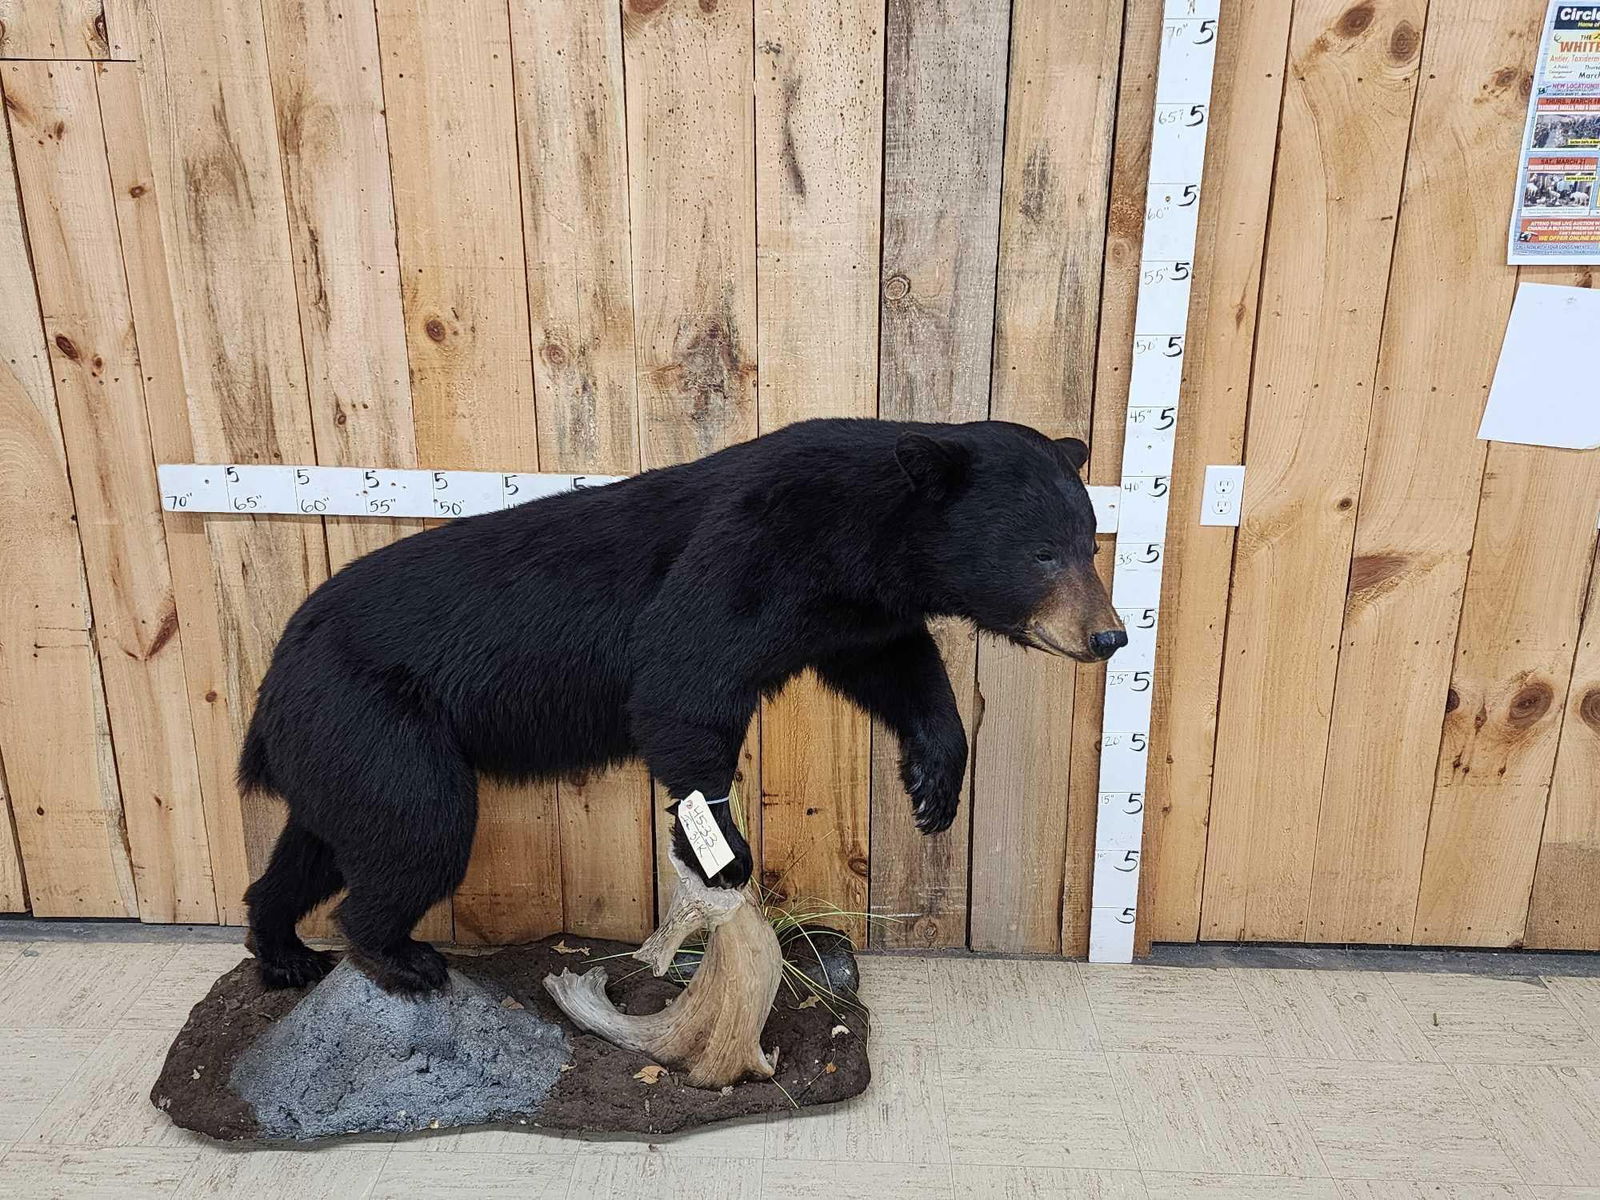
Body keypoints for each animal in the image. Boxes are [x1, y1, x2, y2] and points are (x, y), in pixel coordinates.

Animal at [239, 418, 1125, 993]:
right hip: (375, 718)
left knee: (319, 843)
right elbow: (682, 682)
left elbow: (897, 669)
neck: (857, 537)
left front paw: (935, 786)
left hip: (335, 739)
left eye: (1088, 543)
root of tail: (275, 672)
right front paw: (721, 850)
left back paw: (282, 948)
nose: (1110, 635)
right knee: (417, 827)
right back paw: (400, 958)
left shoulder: (851, 612)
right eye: (1042, 552)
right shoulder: (754, 546)